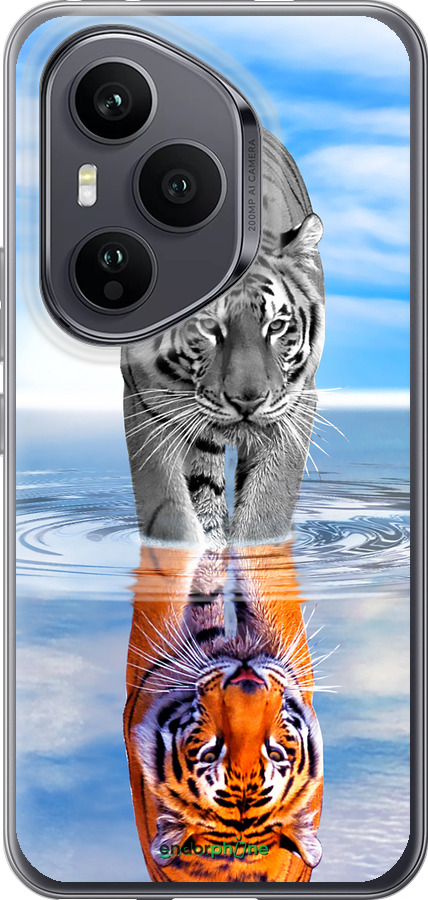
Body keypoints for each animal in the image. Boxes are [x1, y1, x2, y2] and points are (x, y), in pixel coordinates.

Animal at [121, 130, 325, 548]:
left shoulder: (296, 404)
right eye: (207, 327)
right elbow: (170, 512)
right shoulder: (145, 402)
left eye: (276, 327)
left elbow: (266, 509)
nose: (247, 401)